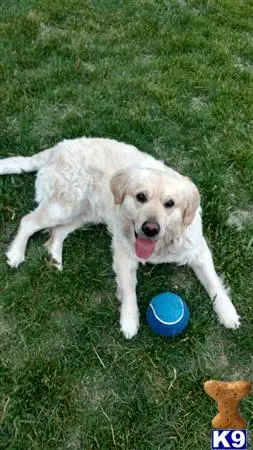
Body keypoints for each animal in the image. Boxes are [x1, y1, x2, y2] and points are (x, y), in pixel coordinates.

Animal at [0, 137, 240, 338]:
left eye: (170, 203)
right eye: (141, 197)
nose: (150, 229)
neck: (162, 244)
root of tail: (59, 146)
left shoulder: (198, 251)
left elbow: (214, 283)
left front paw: (228, 313)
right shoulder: (124, 254)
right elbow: (128, 291)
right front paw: (129, 322)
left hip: (85, 213)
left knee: (56, 232)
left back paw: (55, 257)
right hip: (64, 206)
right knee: (28, 222)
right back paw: (16, 253)